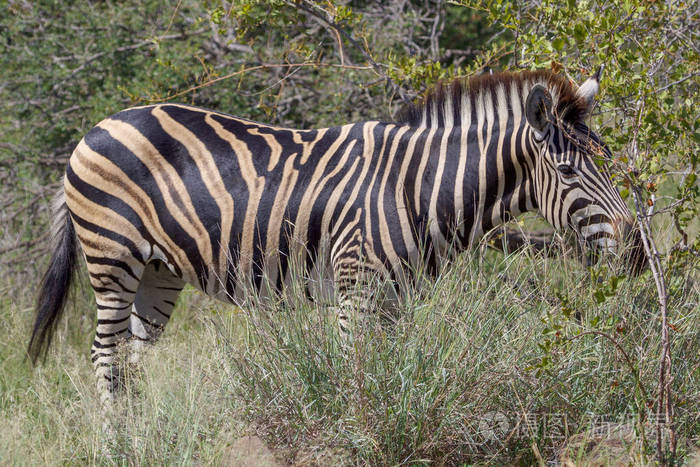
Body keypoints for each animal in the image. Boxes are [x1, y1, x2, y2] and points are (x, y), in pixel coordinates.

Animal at [27, 68, 644, 410]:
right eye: (569, 173)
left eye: (607, 162)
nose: (639, 253)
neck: (417, 187)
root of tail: (94, 129)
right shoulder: (356, 291)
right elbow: (358, 376)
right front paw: (361, 432)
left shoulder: (398, 298)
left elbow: (394, 373)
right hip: (113, 261)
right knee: (104, 356)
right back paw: (118, 441)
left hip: (159, 272)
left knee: (131, 361)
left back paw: (144, 438)